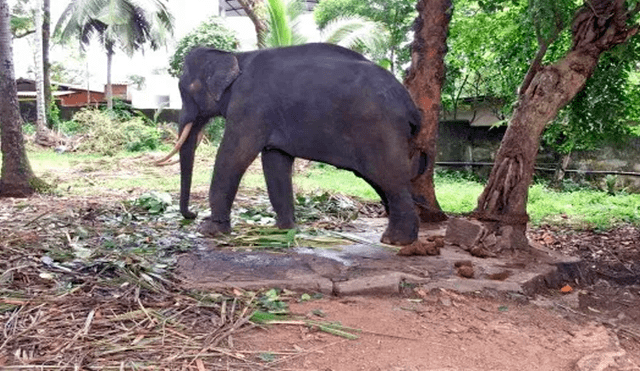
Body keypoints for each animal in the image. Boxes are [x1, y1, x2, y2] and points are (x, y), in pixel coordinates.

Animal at [154, 42, 424, 247]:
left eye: (187, 88)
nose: (192, 214)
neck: (236, 55)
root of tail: (411, 105)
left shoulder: (250, 107)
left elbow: (234, 155)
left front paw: (209, 231)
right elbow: (274, 160)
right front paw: (284, 229)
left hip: (381, 129)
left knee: (390, 178)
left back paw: (395, 241)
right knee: (382, 181)